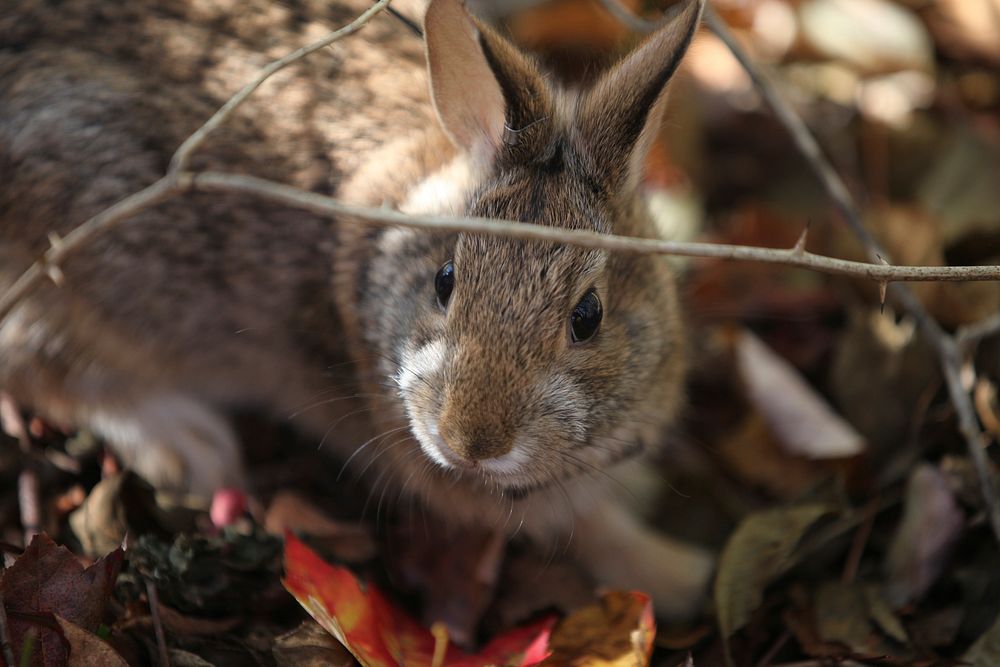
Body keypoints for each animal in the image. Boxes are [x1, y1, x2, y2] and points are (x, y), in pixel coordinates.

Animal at [3, 0, 716, 620]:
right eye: (445, 281)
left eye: (588, 316)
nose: (469, 442)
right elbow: (589, 526)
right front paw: (682, 576)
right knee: (39, 366)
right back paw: (186, 444)